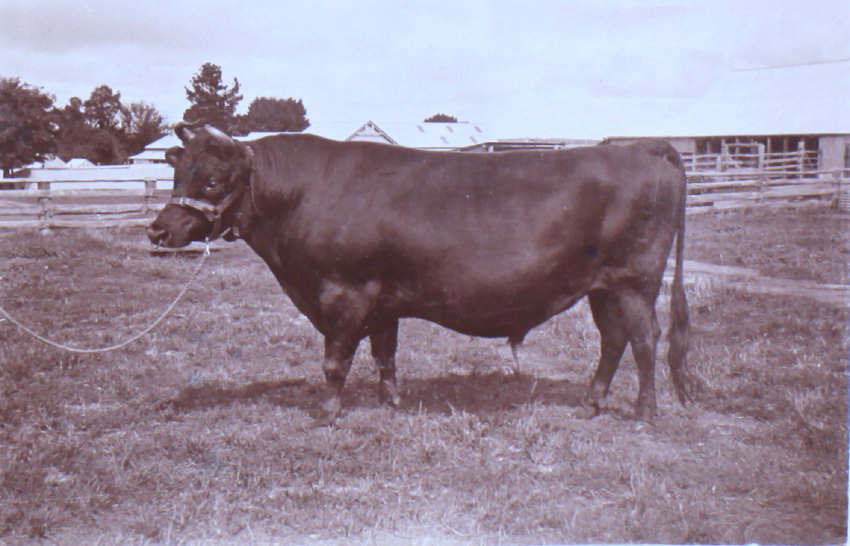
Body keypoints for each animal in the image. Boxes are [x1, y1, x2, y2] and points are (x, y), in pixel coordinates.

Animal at [147, 121, 692, 425]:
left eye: (212, 180)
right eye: (177, 172)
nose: (158, 229)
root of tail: (642, 147)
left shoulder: (342, 292)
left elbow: (335, 361)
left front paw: (327, 413)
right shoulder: (382, 298)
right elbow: (384, 354)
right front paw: (390, 403)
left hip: (635, 282)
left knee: (644, 339)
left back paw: (644, 413)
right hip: (602, 287)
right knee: (613, 340)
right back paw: (590, 405)